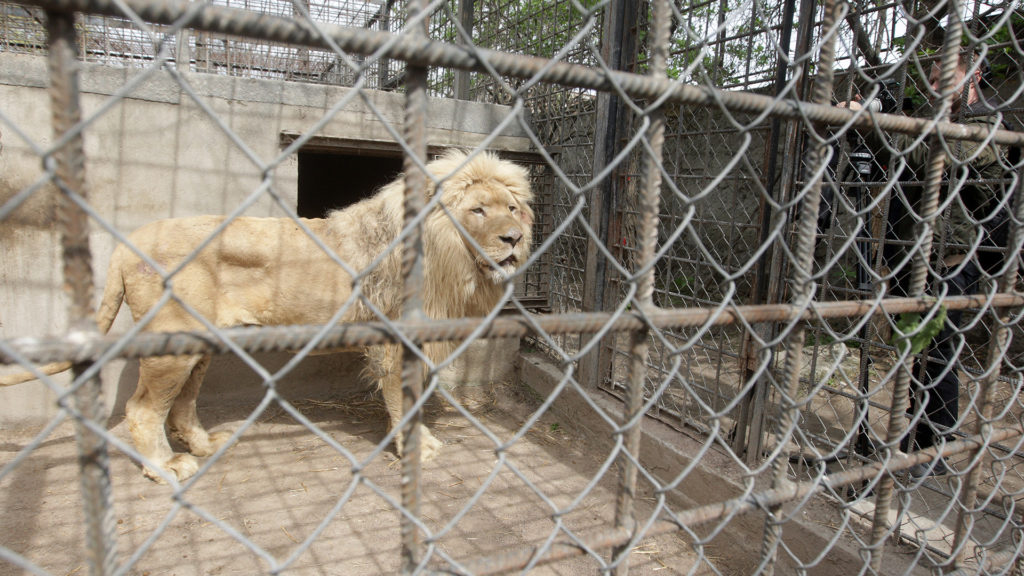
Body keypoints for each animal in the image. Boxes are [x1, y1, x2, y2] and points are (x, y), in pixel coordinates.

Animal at [6, 150, 536, 481]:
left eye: (512, 208)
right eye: (479, 211)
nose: (514, 239)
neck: (451, 260)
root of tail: (124, 242)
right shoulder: (394, 341)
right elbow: (403, 401)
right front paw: (417, 446)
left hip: (200, 344)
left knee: (181, 403)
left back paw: (204, 445)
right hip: (172, 344)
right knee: (141, 410)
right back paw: (166, 467)